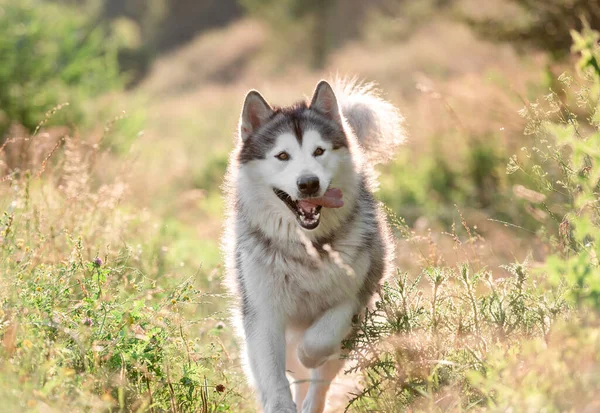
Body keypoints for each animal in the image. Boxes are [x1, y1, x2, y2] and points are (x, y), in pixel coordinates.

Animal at [223, 79, 406, 410]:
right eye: (282, 156)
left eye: (319, 151)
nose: (308, 183)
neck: (306, 248)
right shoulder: (263, 311)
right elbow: (273, 375)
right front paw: (281, 405)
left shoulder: (353, 298)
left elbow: (320, 340)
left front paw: (307, 355)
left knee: (319, 379)